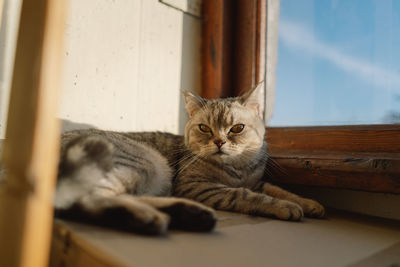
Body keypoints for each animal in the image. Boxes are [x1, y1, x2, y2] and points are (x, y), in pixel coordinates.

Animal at [53, 85, 324, 236]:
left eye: (237, 128)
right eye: (204, 128)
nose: (219, 142)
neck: (238, 169)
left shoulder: (257, 181)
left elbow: (278, 189)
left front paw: (309, 203)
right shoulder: (199, 187)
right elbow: (246, 195)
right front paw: (285, 206)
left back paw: (189, 214)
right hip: (142, 162)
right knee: (87, 200)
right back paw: (152, 218)